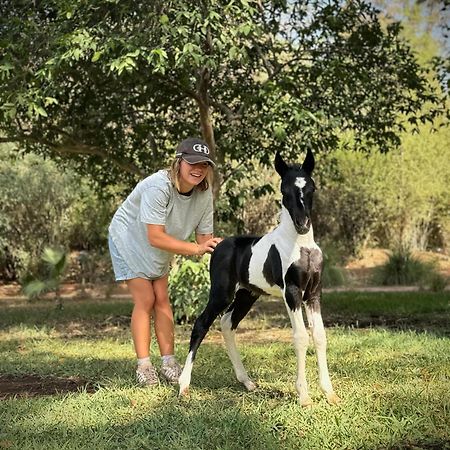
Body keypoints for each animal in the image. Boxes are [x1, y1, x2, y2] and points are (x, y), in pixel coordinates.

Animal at [178, 149, 340, 406]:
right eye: (285, 190)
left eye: (311, 188)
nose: (303, 224)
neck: (301, 245)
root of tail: (218, 245)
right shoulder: (292, 293)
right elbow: (301, 336)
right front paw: (304, 396)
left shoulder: (314, 293)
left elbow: (320, 336)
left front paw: (329, 393)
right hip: (222, 294)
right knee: (202, 324)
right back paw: (183, 385)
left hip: (247, 294)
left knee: (228, 324)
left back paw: (247, 382)